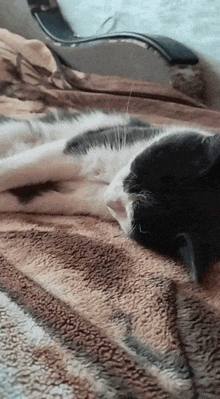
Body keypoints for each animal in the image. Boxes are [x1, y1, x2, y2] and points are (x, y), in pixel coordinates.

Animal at [0, 109, 220, 282]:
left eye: (137, 222)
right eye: (138, 173)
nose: (110, 198)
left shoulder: (74, 198)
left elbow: (32, 197)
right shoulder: (93, 143)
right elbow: (18, 168)